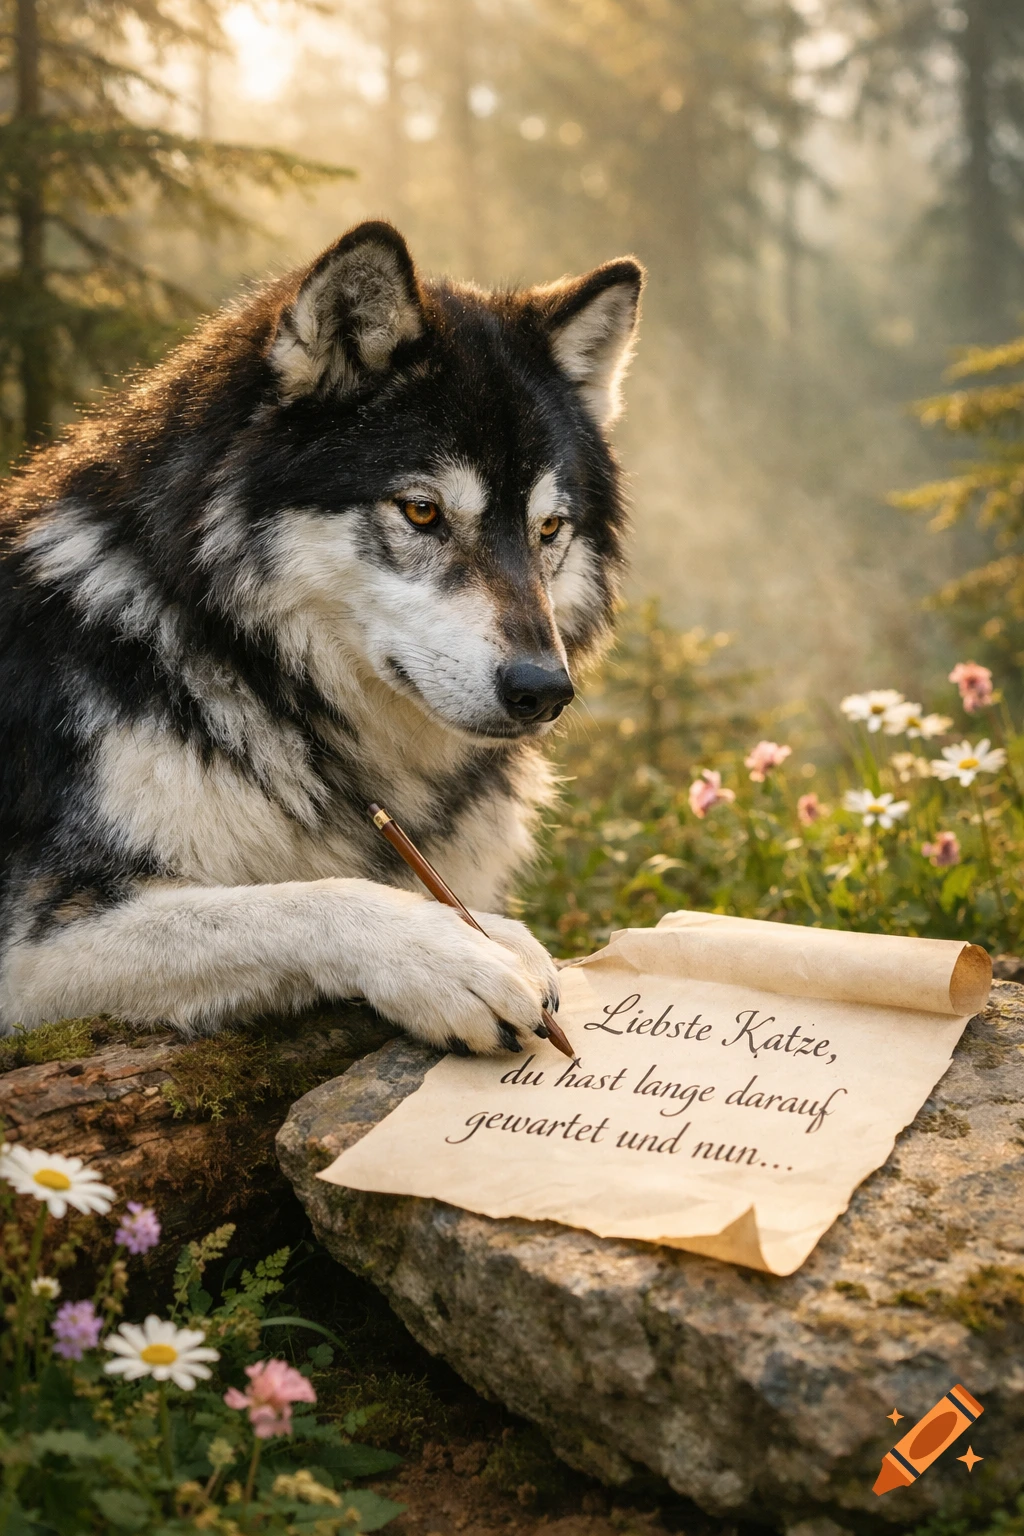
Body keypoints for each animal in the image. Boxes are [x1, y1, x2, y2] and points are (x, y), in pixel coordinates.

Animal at [0, 221, 643, 1054]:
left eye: (549, 529)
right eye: (423, 511)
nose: (544, 690)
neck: (246, 675)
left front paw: (498, 934)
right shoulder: (34, 939)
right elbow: (299, 897)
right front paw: (456, 955)